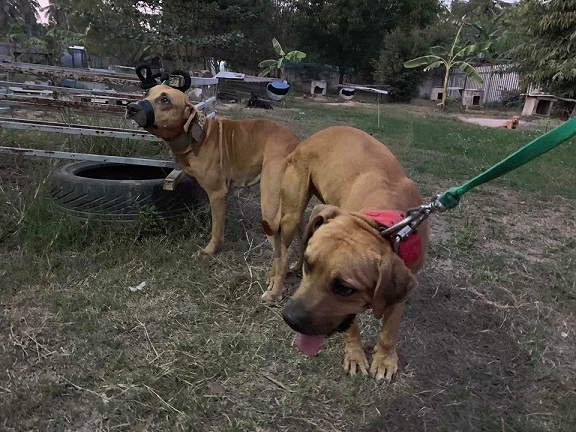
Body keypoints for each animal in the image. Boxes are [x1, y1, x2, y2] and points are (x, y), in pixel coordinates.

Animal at [126, 84, 300, 254]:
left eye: (164, 100)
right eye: (146, 93)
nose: (131, 107)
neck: (196, 137)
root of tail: (297, 143)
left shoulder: (217, 194)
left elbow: (216, 228)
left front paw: (210, 250)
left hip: (271, 201)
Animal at [261, 126, 430, 381]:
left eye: (344, 289)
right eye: (310, 266)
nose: (290, 318)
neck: (381, 224)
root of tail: (303, 143)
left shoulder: (403, 283)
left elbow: (390, 328)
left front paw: (385, 359)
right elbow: (351, 326)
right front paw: (355, 355)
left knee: (299, 238)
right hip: (292, 212)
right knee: (281, 250)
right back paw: (276, 284)